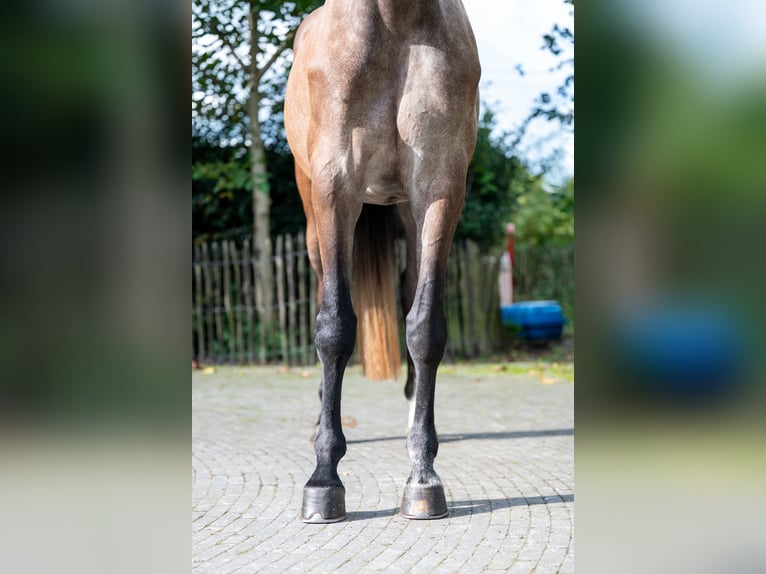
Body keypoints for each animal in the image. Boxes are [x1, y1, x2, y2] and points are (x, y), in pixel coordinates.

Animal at [284, 0, 484, 524]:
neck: (397, 22)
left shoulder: (439, 186)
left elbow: (425, 326)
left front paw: (423, 474)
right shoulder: (335, 185)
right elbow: (334, 327)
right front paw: (324, 479)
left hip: (409, 215)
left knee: (410, 291)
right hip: (314, 212)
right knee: (324, 291)